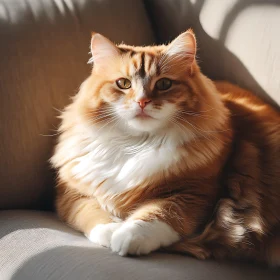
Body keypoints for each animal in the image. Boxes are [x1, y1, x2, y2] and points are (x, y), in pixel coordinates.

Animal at [50, 29, 280, 266]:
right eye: (123, 83)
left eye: (163, 84)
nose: (142, 102)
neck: (136, 143)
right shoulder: (71, 194)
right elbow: (93, 214)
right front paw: (112, 231)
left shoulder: (195, 193)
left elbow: (158, 215)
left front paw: (127, 237)